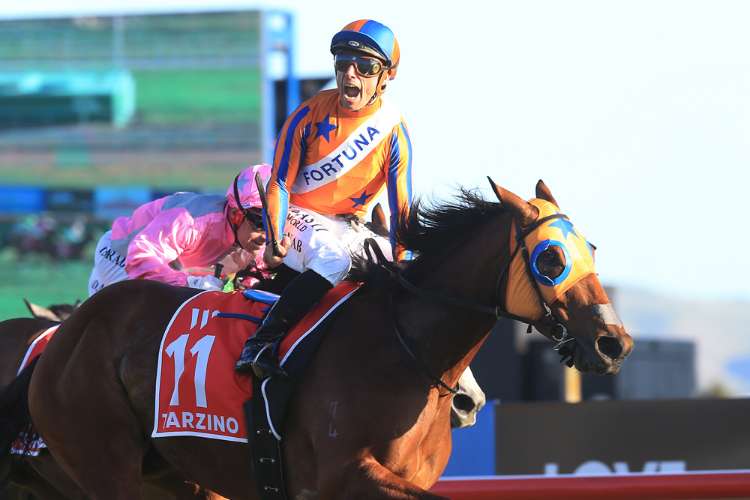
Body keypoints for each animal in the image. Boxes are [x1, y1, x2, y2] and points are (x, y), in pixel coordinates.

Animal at [0, 179, 632, 499]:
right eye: (550, 258)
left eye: (592, 248)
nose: (613, 341)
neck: (404, 352)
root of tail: (67, 334)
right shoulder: (338, 478)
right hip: (106, 466)